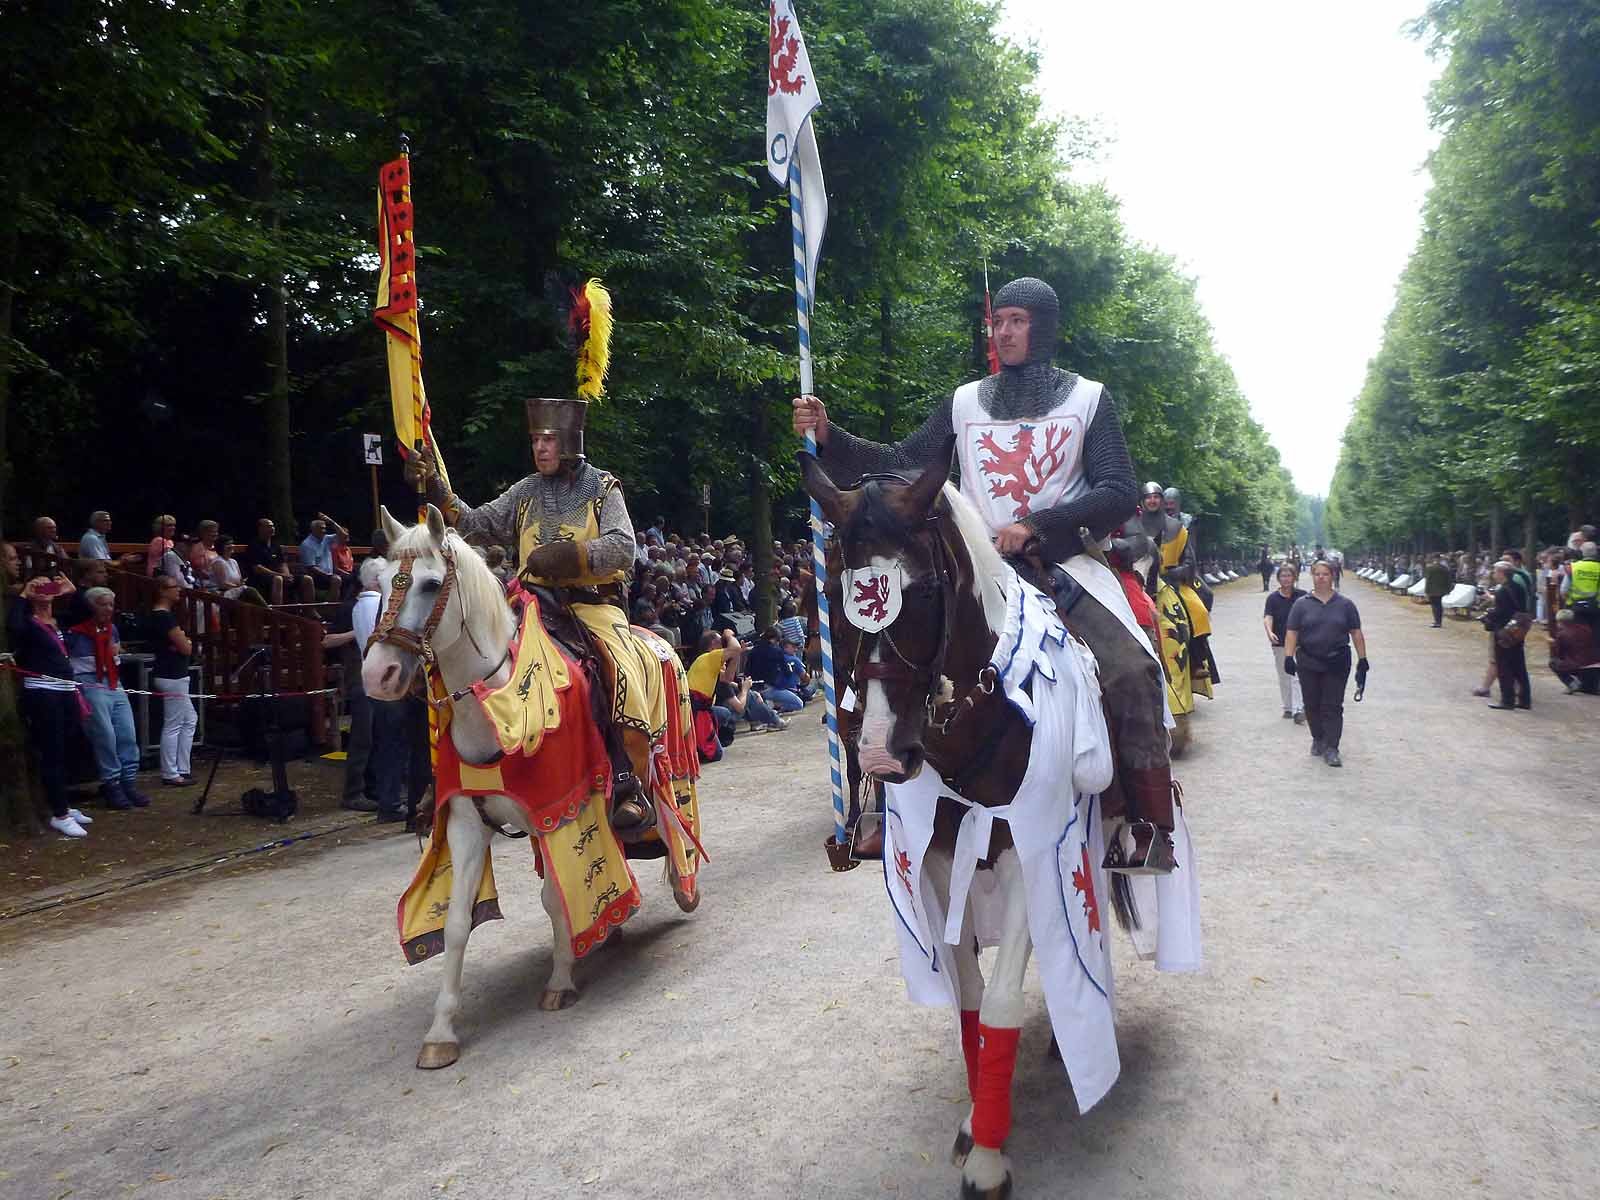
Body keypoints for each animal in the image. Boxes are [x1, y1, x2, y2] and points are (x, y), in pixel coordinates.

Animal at [366, 505, 697, 1068]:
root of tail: (659, 640)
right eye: (382, 581)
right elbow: (457, 924)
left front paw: (561, 980)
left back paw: (681, 886)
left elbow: (554, 896)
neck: (498, 706)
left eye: (431, 584)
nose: (379, 674)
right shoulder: (467, 823)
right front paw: (441, 1030)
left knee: (673, 822)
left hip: (663, 762)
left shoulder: (557, 810)